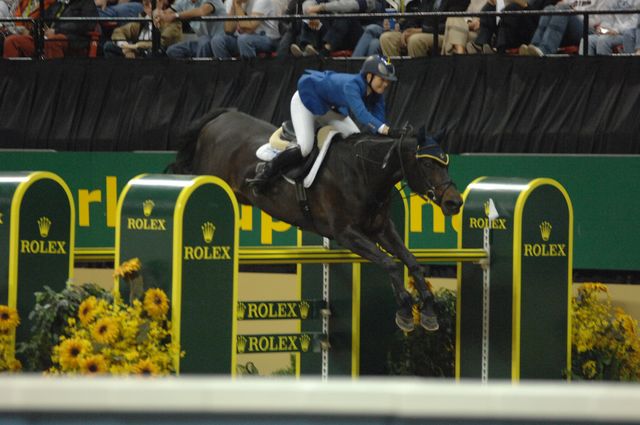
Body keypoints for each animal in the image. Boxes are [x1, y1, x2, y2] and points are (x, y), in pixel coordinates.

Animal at [169, 109, 463, 332]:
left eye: (447, 163)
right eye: (427, 164)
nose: (454, 202)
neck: (364, 172)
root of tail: (222, 116)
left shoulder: (381, 229)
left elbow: (411, 262)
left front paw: (429, 311)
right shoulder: (346, 233)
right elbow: (390, 264)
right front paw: (404, 311)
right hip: (206, 174)